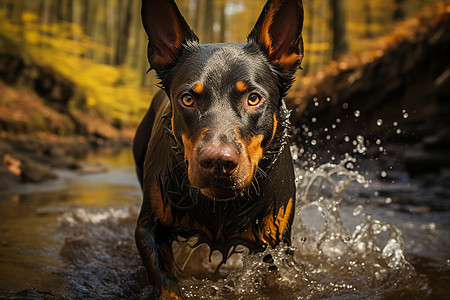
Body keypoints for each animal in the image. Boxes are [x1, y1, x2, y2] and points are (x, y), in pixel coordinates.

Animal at [133, 0, 302, 298]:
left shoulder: (278, 246)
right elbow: (166, 282)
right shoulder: (148, 228)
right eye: (188, 99)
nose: (218, 162)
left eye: (253, 98)